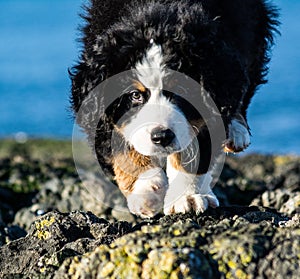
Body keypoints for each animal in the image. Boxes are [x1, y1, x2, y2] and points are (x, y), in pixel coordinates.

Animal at [69, 0, 278, 219]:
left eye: (183, 90)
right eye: (135, 95)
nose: (161, 137)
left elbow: (193, 154)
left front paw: (187, 197)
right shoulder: (99, 108)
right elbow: (122, 147)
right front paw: (146, 191)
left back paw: (237, 131)